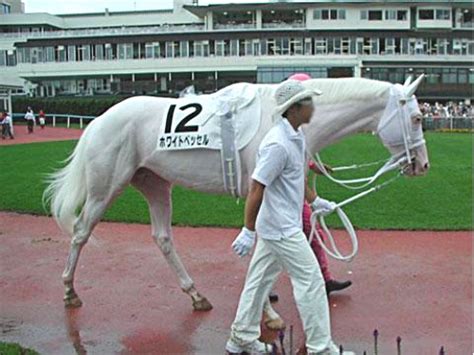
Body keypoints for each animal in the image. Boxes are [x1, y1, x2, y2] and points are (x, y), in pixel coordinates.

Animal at [43, 77, 430, 328]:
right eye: (417, 117)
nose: (423, 165)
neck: (279, 117)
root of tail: (98, 121)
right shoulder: (263, 192)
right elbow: (261, 250)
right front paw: (267, 314)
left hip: (155, 184)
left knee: (162, 238)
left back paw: (195, 295)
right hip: (105, 187)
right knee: (81, 231)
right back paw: (69, 291)